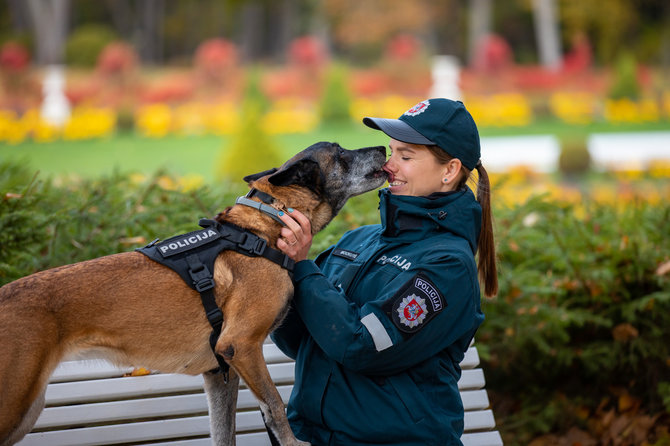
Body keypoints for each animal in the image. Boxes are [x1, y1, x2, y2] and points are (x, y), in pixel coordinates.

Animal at [0, 141, 388, 444]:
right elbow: (276, 408)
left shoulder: (220, 372)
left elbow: (224, 433)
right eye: (341, 153)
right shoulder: (241, 346)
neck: (262, 229)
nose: (384, 147)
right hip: (17, 404)